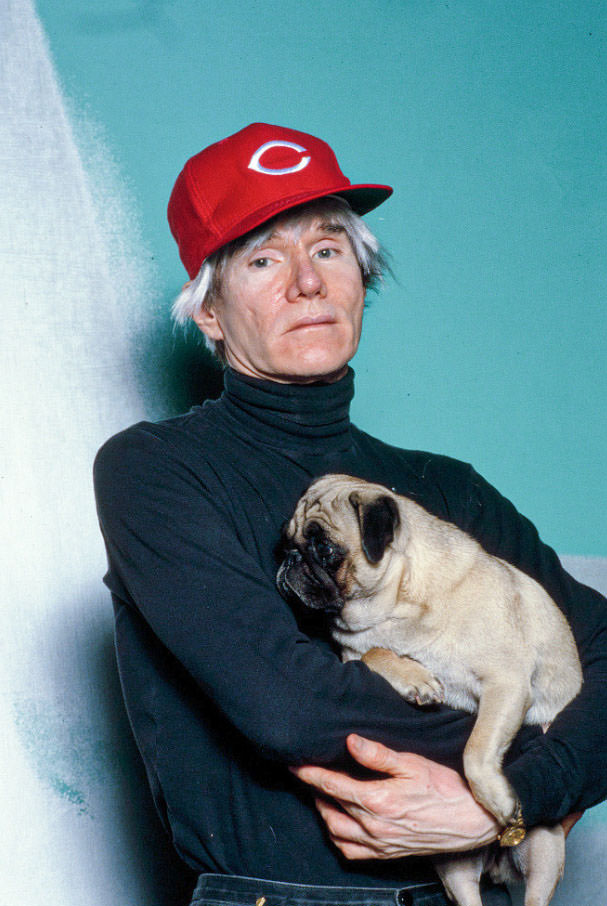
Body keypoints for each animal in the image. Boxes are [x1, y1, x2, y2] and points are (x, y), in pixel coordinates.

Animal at [278, 474, 580, 904]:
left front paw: (498, 800)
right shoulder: (353, 655)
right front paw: (415, 678)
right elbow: (377, 654)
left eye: (324, 548)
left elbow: (476, 750)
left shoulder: (506, 683)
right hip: (455, 868)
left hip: (544, 852)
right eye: (286, 542)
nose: (290, 559)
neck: (397, 608)